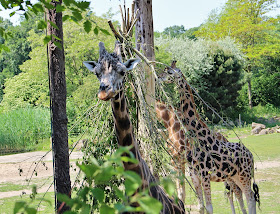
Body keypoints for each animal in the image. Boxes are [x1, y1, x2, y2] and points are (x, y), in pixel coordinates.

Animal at [156, 60, 260, 214]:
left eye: (168, 71)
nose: (158, 77)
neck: (196, 135)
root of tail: (251, 155)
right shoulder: (194, 175)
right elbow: (201, 207)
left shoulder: (205, 174)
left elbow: (209, 207)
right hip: (235, 176)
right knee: (245, 196)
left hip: (244, 176)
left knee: (249, 197)